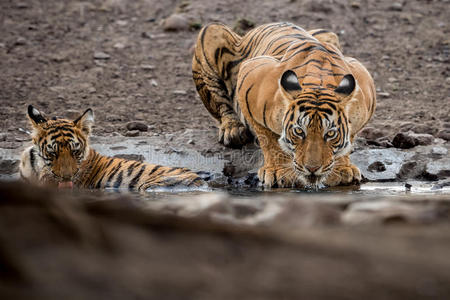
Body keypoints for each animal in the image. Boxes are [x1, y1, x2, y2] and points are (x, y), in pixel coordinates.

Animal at [192, 22, 374, 188]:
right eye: (299, 131)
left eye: (330, 133)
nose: (312, 169)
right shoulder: (250, 75)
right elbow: (268, 139)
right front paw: (278, 171)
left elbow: (348, 140)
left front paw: (341, 170)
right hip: (211, 32)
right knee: (222, 104)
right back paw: (233, 130)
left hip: (329, 33)